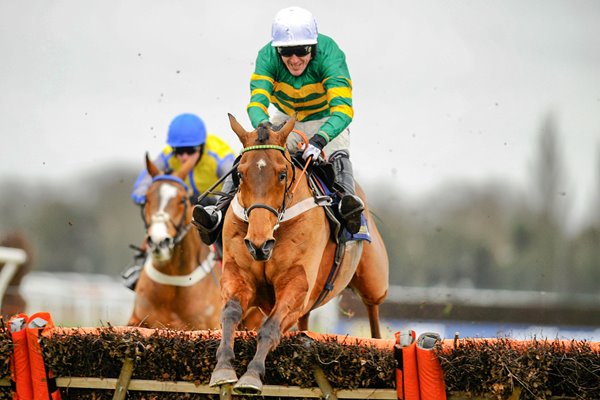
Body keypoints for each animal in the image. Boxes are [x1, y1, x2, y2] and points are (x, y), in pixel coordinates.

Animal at [210, 113, 390, 394]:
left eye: (283, 174)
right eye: (239, 174)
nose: (259, 243)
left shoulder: (297, 283)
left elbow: (270, 326)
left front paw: (252, 374)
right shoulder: (237, 273)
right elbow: (229, 313)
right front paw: (223, 368)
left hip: (374, 280)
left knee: (373, 310)